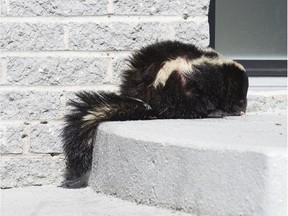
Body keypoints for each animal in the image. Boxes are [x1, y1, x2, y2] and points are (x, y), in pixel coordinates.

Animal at [62, 40, 249, 187]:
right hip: (178, 86)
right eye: (240, 97)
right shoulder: (202, 77)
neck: (219, 67)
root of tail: (145, 99)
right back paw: (211, 112)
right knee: (187, 105)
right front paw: (220, 110)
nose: (242, 109)